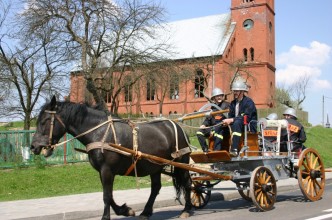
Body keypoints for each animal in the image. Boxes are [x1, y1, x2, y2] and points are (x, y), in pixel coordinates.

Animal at [30, 96, 193, 220]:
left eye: (44, 121)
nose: (33, 146)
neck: (100, 132)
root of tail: (176, 126)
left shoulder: (107, 170)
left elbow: (106, 196)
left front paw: (106, 216)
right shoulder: (103, 171)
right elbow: (109, 194)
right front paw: (125, 210)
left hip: (181, 161)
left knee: (187, 183)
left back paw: (186, 209)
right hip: (155, 166)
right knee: (156, 187)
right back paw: (146, 212)